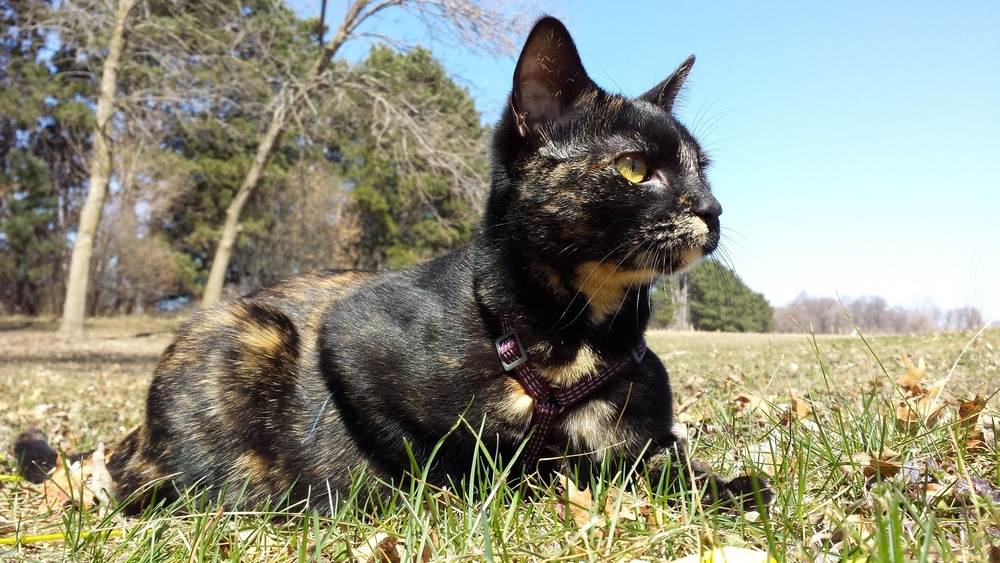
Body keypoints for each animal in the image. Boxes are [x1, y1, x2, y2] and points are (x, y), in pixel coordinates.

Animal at [70, 16, 768, 512]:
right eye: (634, 167)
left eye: (700, 168)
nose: (712, 208)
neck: (580, 336)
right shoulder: (353, 340)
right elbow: (446, 454)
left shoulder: (645, 441)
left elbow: (672, 466)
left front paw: (731, 488)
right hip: (245, 333)